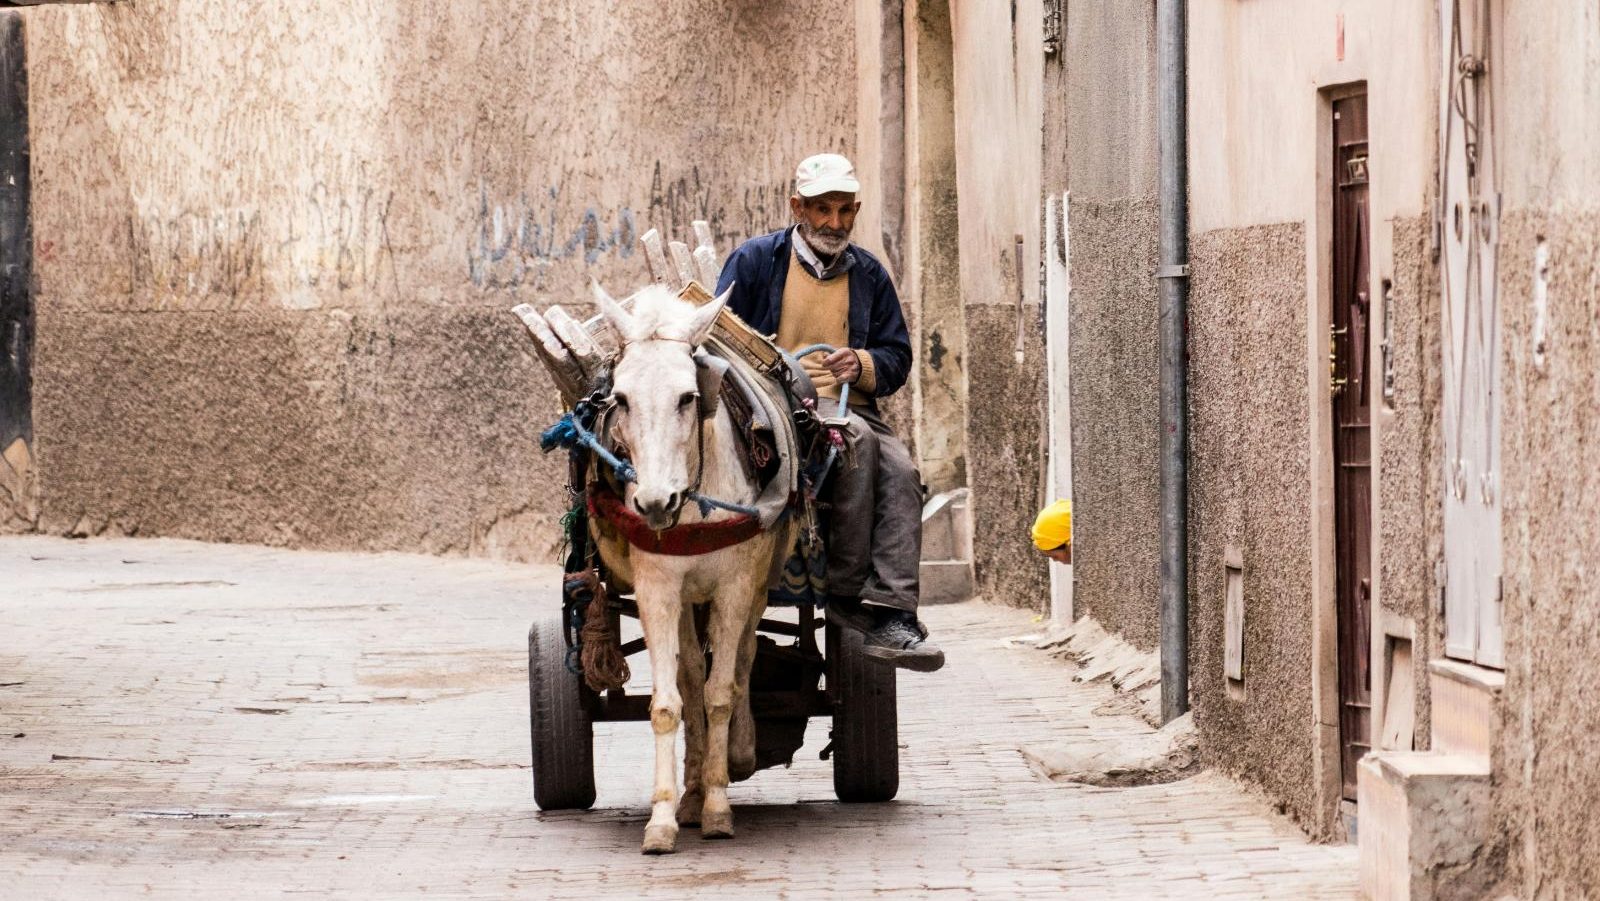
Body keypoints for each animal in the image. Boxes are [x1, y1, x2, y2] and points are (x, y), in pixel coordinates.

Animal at [587, 281, 785, 855]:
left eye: (687, 397)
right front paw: (663, 818)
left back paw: (733, 759)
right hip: (684, 600)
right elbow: (670, 702)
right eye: (621, 399)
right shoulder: (658, 589)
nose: (655, 503)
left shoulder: (736, 586)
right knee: (692, 673)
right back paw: (691, 792)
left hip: (755, 586)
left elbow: (720, 694)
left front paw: (719, 806)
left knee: (740, 661)